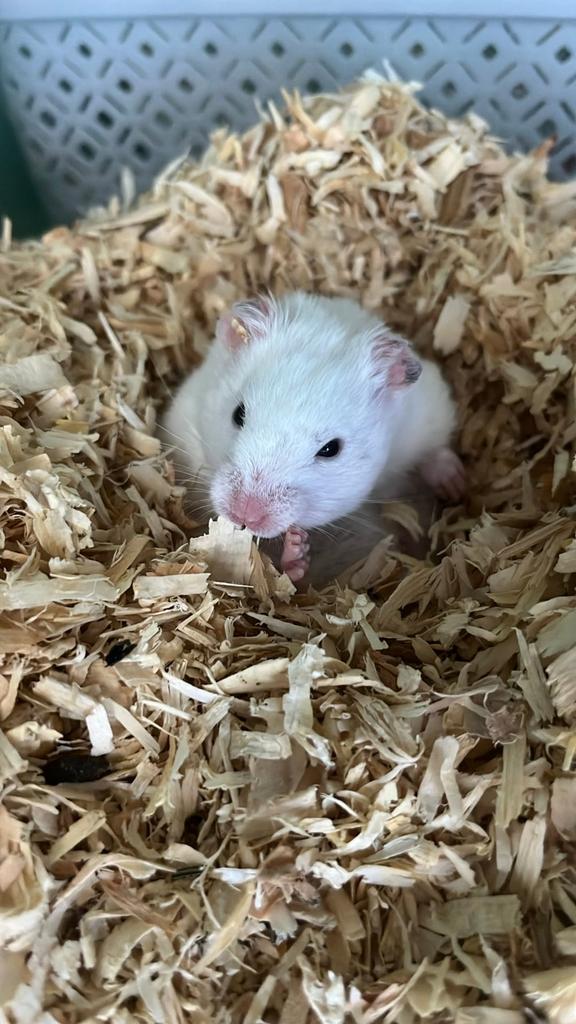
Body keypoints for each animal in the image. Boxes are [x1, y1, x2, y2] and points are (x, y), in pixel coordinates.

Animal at [162, 291, 465, 584]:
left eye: (331, 449)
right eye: (239, 414)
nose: (245, 515)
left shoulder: (430, 412)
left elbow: (435, 450)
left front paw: (455, 485)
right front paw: (297, 547)